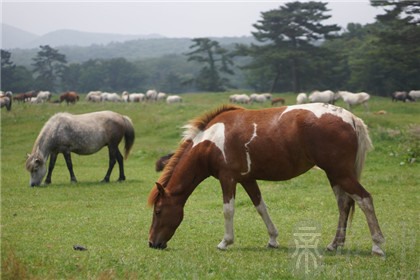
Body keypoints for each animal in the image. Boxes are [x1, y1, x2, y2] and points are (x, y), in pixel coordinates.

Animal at [147, 103, 384, 256]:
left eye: (158, 211)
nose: (152, 243)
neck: (211, 141)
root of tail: (351, 118)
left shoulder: (227, 178)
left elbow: (228, 210)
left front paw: (225, 242)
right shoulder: (247, 179)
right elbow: (261, 207)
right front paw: (272, 239)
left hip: (340, 173)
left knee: (365, 200)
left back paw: (377, 245)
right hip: (335, 175)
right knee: (344, 204)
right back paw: (334, 245)